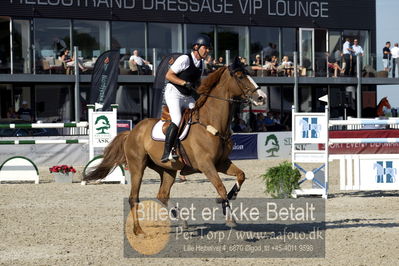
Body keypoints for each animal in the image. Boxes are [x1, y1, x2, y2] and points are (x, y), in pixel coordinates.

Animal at [84, 57, 266, 234]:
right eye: (240, 76)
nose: (261, 97)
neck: (212, 122)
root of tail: (133, 131)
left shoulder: (221, 162)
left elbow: (241, 175)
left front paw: (230, 197)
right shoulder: (206, 165)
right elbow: (220, 187)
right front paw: (229, 217)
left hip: (167, 170)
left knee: (162, 194)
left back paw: (183, 222)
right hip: (137, 167)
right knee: (134, 197)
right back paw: (139, 230)